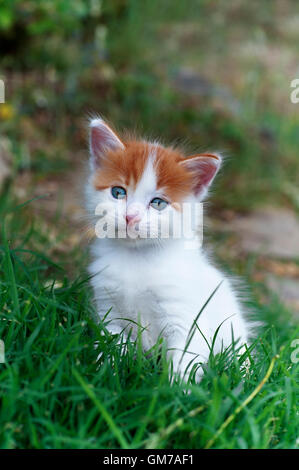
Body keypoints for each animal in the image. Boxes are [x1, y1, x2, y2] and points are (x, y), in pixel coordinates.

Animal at [86, 116, 251, 382]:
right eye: (118, 192)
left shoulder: (187, 320)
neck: (137, 258)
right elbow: (110, 345)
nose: (130, 216)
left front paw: (175, 390)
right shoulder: (109, 311)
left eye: (158, 203)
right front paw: (103, 376)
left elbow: (183, 363)